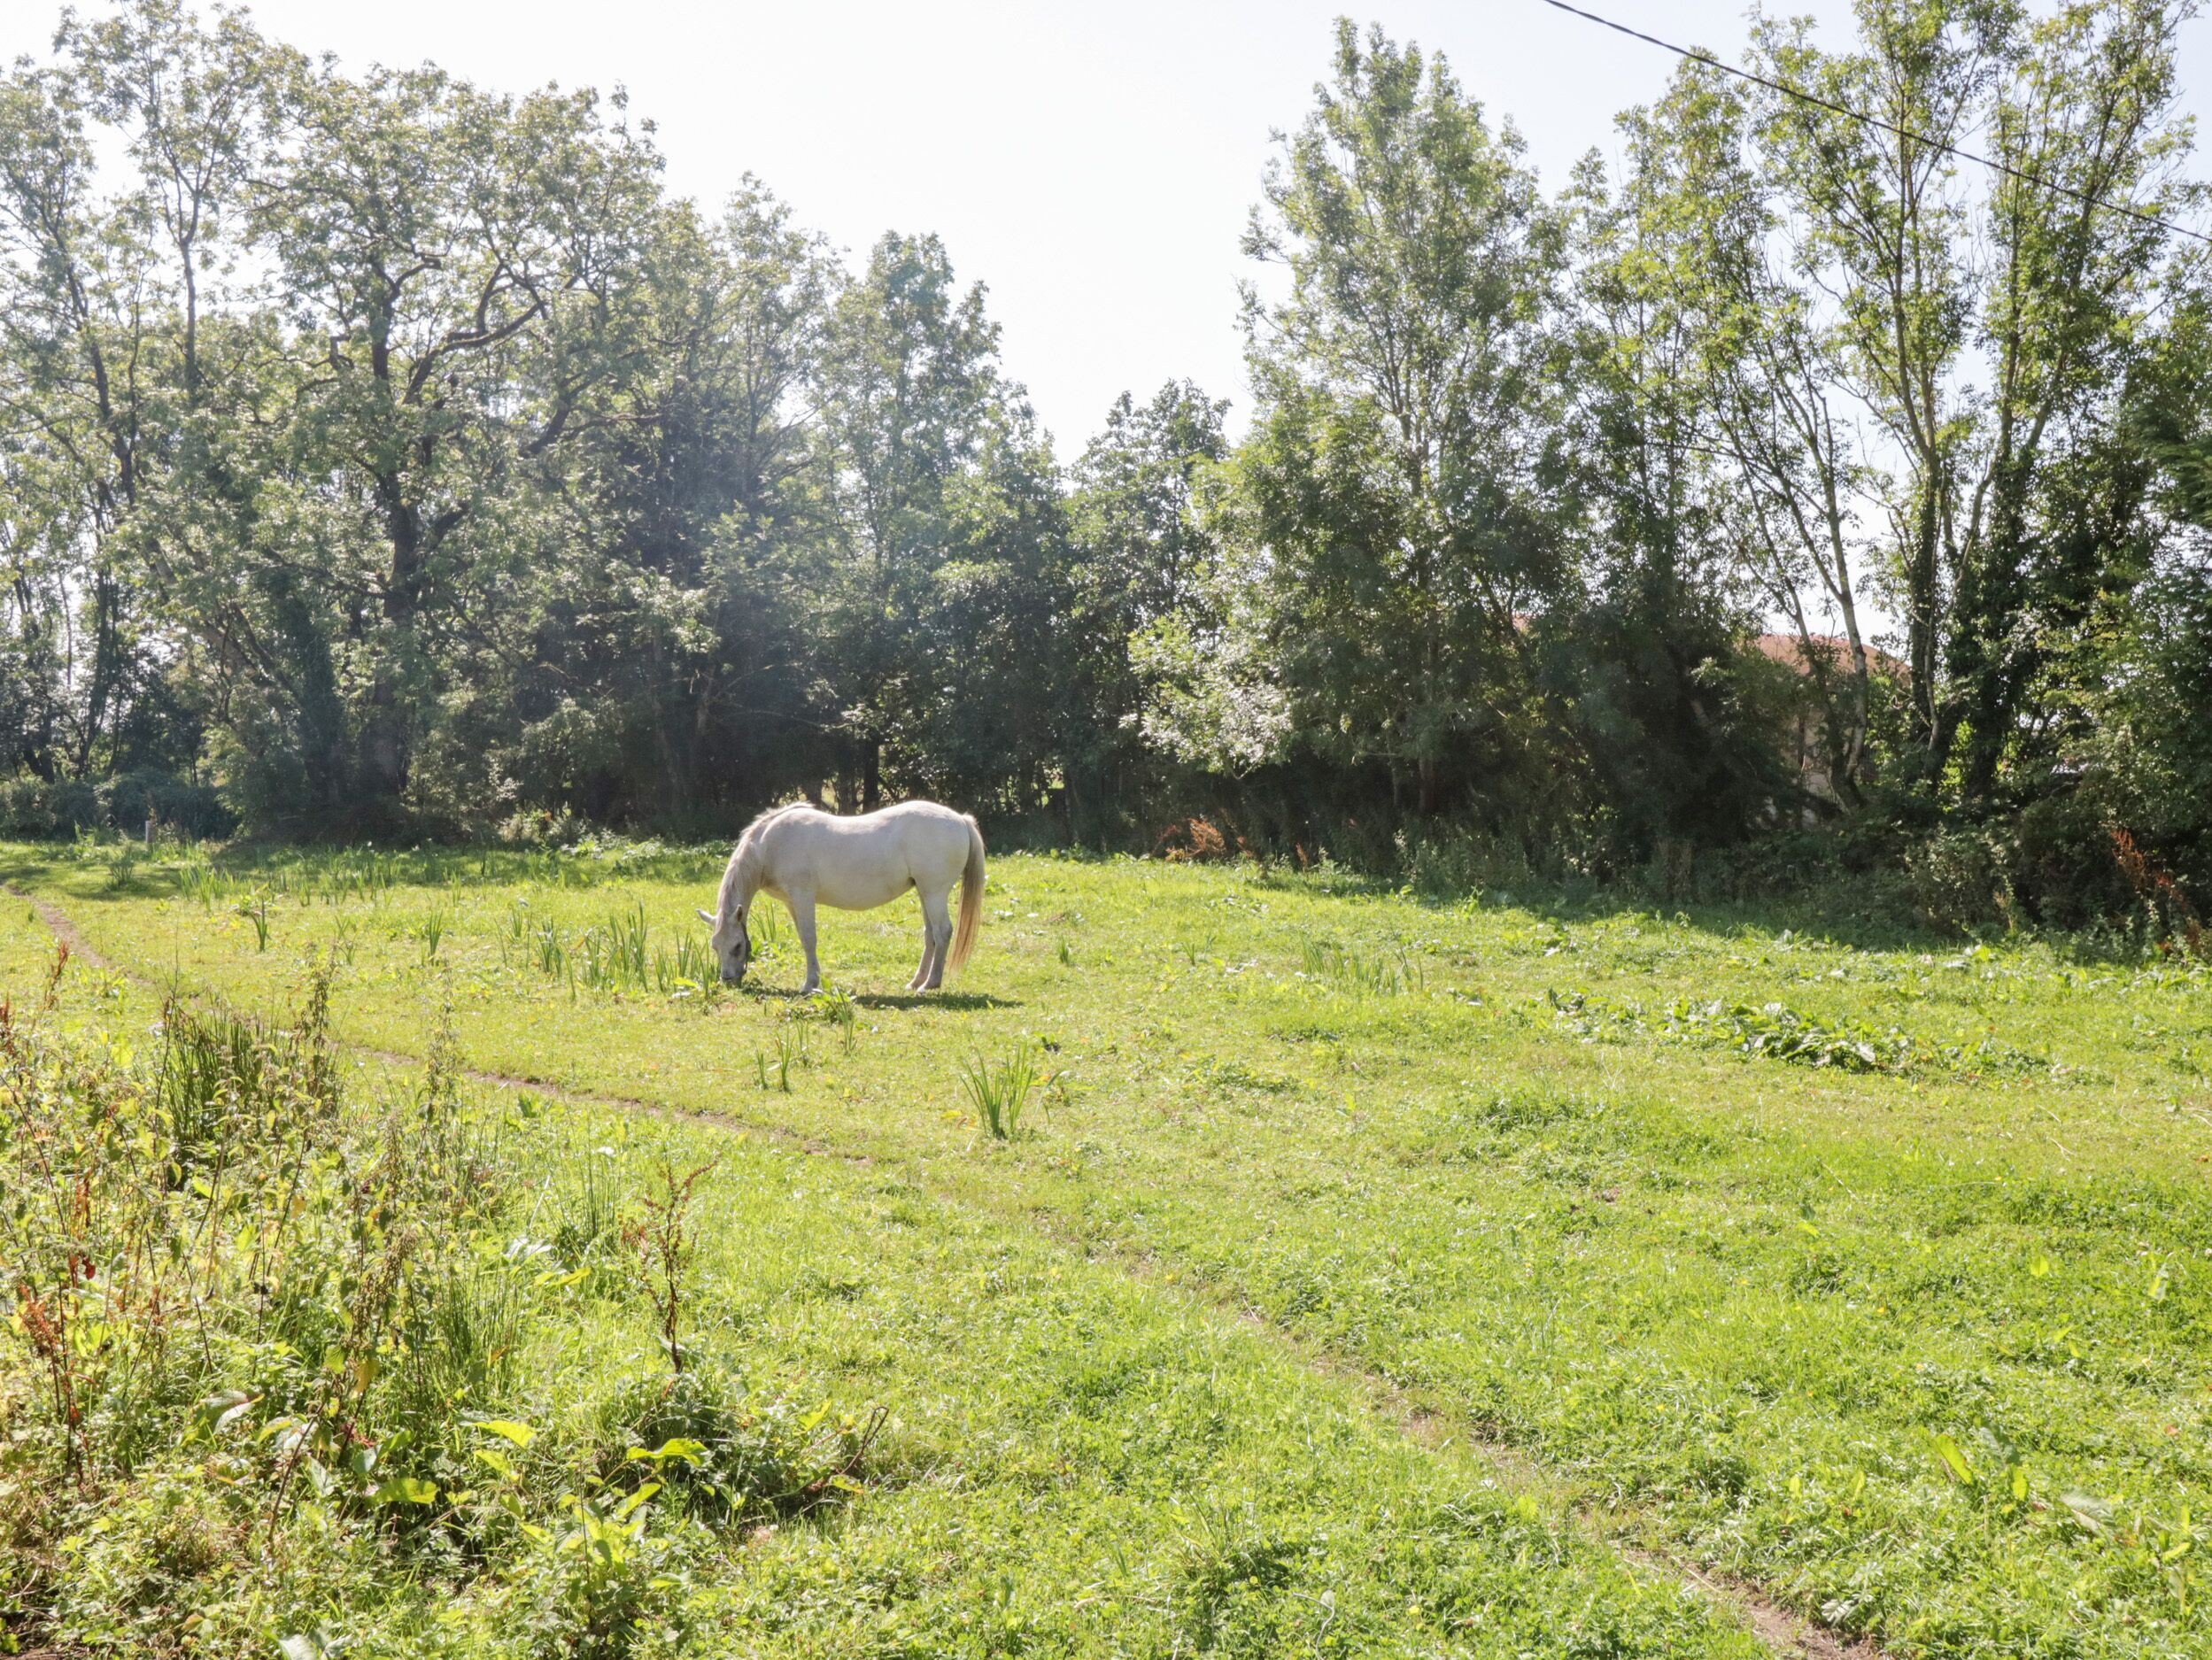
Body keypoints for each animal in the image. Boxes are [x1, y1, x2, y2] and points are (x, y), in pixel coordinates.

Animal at [697, 800, 985, 994]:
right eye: (715, 946)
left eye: (737, 946)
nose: (728, 980)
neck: (768, 846)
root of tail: (961, 820)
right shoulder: (792, 902)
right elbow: (804, 937)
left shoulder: (803, 897)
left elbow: (809, 939)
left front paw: (809, 984)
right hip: (925, 893)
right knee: (930, 935)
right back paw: (916, 981)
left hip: (935, 893)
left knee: (943, 932)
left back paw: (931, 984)